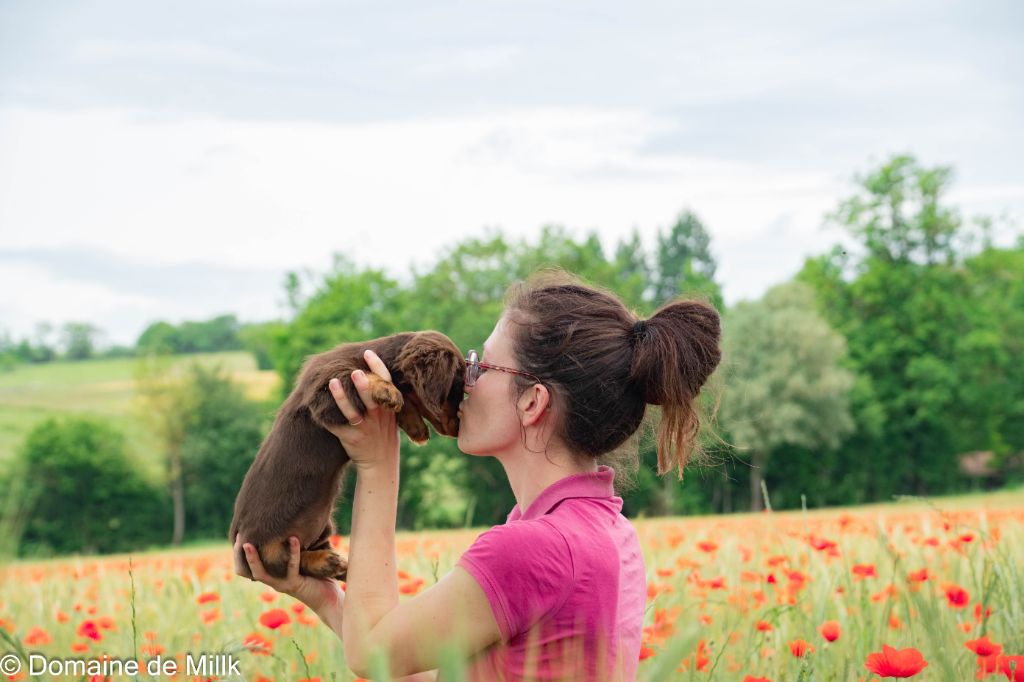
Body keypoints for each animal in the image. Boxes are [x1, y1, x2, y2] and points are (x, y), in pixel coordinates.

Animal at [229, 329, 464, 577]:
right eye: (454, 390)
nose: (459, 427)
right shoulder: (326, 389)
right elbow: (358, 374)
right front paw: (387, 390)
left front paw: (415, 426)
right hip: (266, 547)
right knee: (288, 562)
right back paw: (328, 562)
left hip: (323, 527)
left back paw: (338, 565)